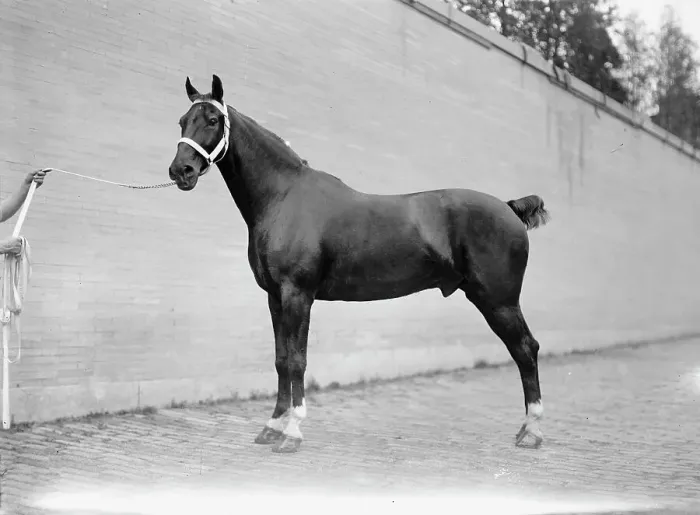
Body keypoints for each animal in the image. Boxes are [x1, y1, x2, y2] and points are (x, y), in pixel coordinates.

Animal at [168, 75, 551, 454]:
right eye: (183, 121)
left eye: (213, 120)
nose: (180, 171)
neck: (284, 197)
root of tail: (509, 207)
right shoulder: (275, 297)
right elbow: (281, 360)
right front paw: (272, 426)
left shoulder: (298, 295)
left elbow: (297, 361)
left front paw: (292, 432)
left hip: (499, 302)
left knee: (526, 349)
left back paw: (532, 431)